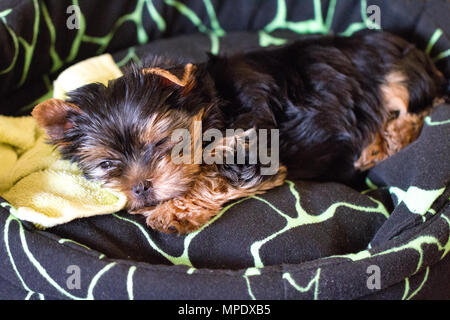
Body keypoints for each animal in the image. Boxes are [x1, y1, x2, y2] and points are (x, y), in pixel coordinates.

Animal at [31, 31, 446, 234]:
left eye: (162, 143)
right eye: (106, 165)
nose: (141, 188)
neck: (214, 105)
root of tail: (419, 54)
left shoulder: (253, 148)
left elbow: (209, 175)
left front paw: (170, 212)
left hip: (396, 77)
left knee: (416, 111)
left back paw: (383, 142)